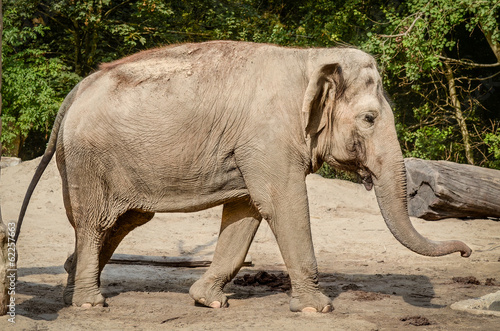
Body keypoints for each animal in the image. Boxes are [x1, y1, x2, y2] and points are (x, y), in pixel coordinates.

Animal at [14, 40, 468, 314]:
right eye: (370, 118)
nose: (465, 251)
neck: (310, 58)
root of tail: (76, 89)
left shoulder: (252, 148)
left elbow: (246, 209)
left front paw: (208, 301)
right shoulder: (269, 139)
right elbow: (283, 202)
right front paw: (318, 308)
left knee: (125, 221)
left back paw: (70, 286)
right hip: (88, 159)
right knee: (96, 222)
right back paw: (89, 303)